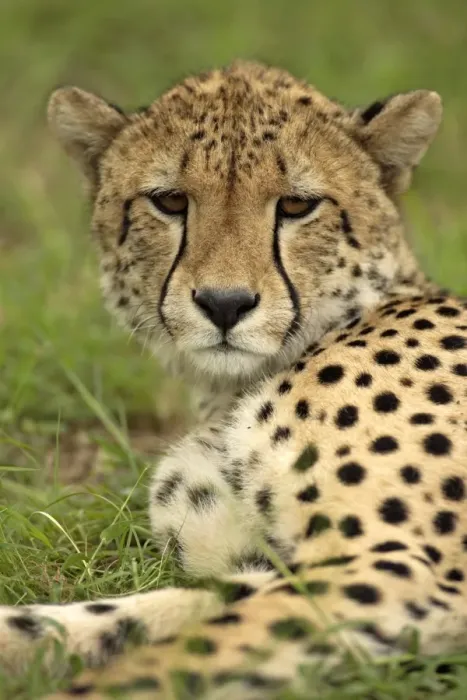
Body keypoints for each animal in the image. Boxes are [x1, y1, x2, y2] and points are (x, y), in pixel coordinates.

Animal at [1, 60, 467, 700]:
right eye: (170, 201)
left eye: (297, 206)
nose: (225, 304)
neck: (233, 394)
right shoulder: (267, 567)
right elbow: (138, 616)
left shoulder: (396, 564)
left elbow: (181, 656)